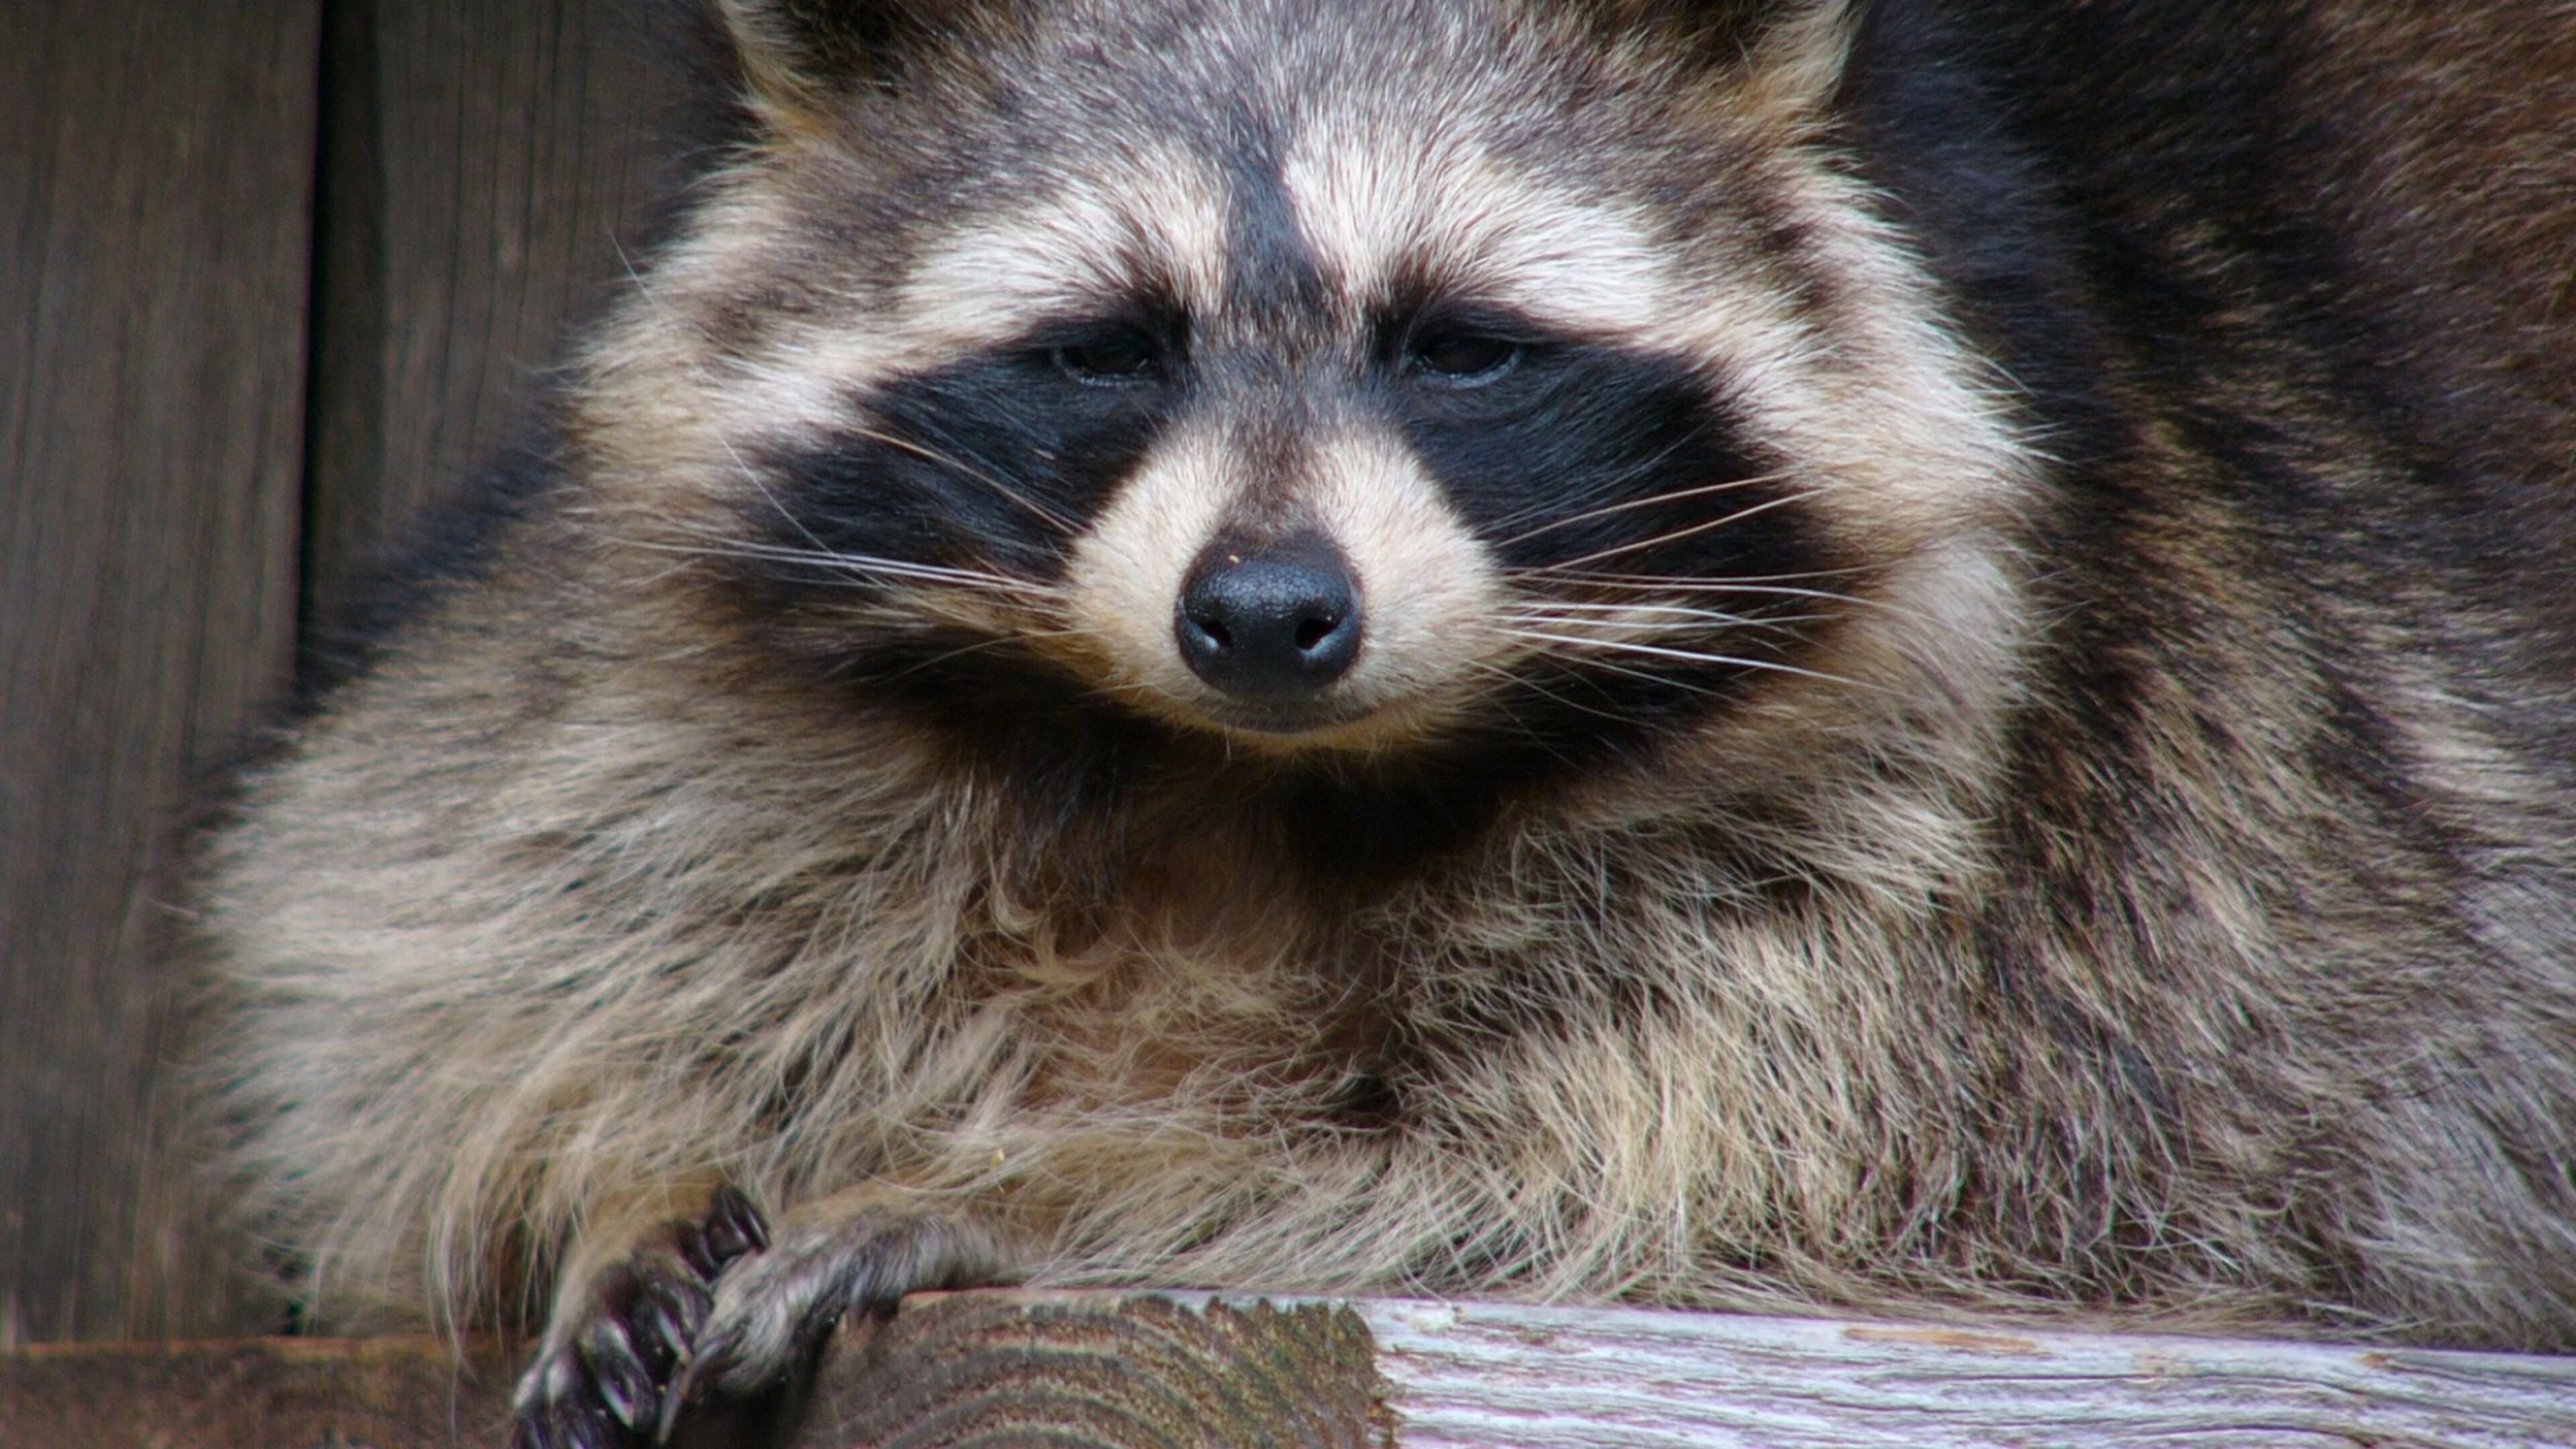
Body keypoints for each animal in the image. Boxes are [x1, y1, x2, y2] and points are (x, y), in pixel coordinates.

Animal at [198, 0, 2576, 1444]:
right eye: (1105, 347)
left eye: (1458, 345)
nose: (1266, 614)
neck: (1237, 784)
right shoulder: (585, 681)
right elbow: (425, 935)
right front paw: (617, 1152)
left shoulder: (2093, 837)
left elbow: (1730, 1175)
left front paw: (1071, 1183)